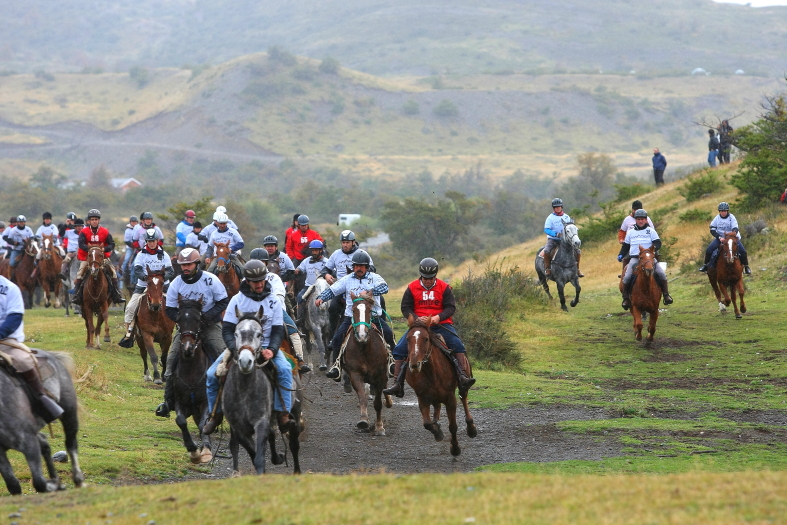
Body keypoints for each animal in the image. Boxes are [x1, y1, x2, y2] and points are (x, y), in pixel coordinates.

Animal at [0, 350, 84, 494]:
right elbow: (13, 485)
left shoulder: (29, 444)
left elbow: (39, 483)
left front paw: (53, 485)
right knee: (44, 443)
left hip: (69, 414)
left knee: (71, 445)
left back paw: (78, 480)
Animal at [172, 296, 214, 464]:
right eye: (178, 319)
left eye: (198, 319)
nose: (188, 348)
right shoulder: (179, 402)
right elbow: (181, 421)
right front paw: (193, 450)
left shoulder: (206, 402)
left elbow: (204, 424)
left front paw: (206, 451)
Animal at [344, 290, 394, 434]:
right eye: (353, 310)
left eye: (370, 310)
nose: (362, 335)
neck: (364, 347)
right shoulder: (355, 374)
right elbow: (363, 398)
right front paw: (363, 421)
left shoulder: (380, 375)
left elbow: (378, 403)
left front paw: (379, 427)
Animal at [406, 316, 480, 454]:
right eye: (407, 339)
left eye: (426, 339)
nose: (414, 364)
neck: (432, 372)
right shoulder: (422, 398)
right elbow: (427, 424)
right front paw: (438, 432)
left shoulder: (450, 399)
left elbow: (453, 426)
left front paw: (455, 449)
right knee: (437, 406)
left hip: (463, 384)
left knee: (464, 398)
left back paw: (471, 428)